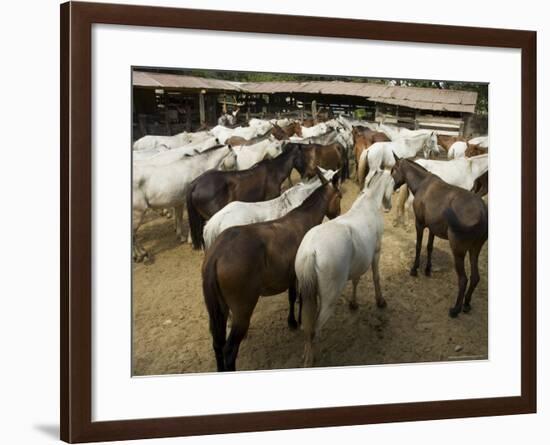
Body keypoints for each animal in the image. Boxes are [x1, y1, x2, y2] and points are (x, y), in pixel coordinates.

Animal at [296, 170, 394, 364]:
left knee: (308, 329)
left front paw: (354, 303)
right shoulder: (376, 253)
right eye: (394, 184)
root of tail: (311, 250)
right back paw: (312, 359)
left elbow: (356, 281)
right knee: (315, 330)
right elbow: (376, 277)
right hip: (328, 300)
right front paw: (380, 301)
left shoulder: (358, 262)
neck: (368, 204)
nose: (389, 207)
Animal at [390, 156, 490, 316]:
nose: (394, 187)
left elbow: (419, 246)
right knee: (475, 277)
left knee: (463, 279)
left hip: (458, 251)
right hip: (475, 249)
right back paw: (467, 304)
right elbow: (430, 247)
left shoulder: (419, 224)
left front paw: (414, 269)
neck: (422, 183)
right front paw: (427, 269)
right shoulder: (432, 228)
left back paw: (455, 309)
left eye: (393, 170)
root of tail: (482, 212)